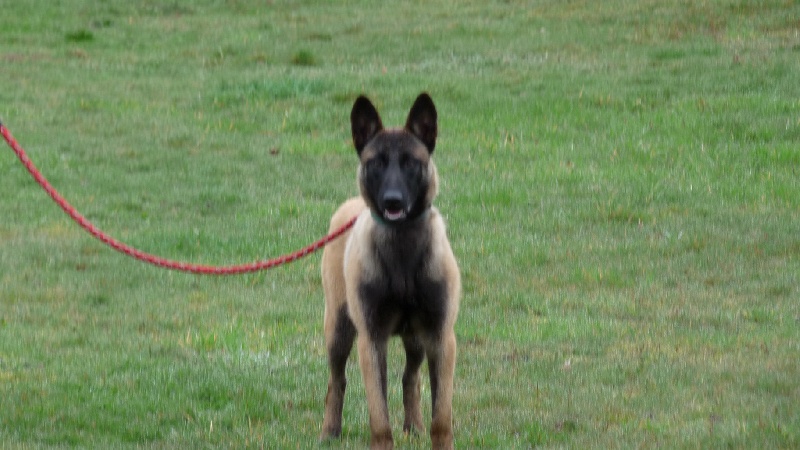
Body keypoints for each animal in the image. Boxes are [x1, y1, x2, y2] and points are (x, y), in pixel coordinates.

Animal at [318, 92, 460, 450]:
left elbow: (442, 416)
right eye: (376, 163)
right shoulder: (372, 340)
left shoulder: (441, 337)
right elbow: (379, 416)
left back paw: (415, 426)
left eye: (411, 162)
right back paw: (329, 430)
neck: (403, 256)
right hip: (339, 329)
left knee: (411, 377)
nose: (392, 201)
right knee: (337, 381)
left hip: (416, 339)